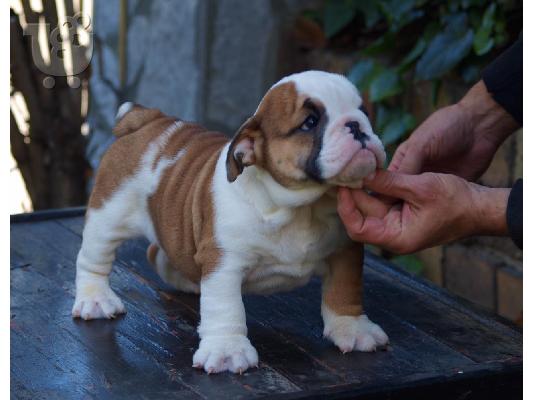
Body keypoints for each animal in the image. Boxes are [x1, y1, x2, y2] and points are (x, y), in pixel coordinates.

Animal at [72, 70, 390, 374]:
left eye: (363, 110)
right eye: (310, 122)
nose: (356, 125)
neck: (301, 207)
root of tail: (148, 120)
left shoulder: (345, 249)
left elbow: (345, 289)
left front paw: (353, 328)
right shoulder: (224, 262)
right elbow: (226, 308)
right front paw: (227, 350)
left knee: (158, 253)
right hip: (109, 212)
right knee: (94, 257)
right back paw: (95, 299)